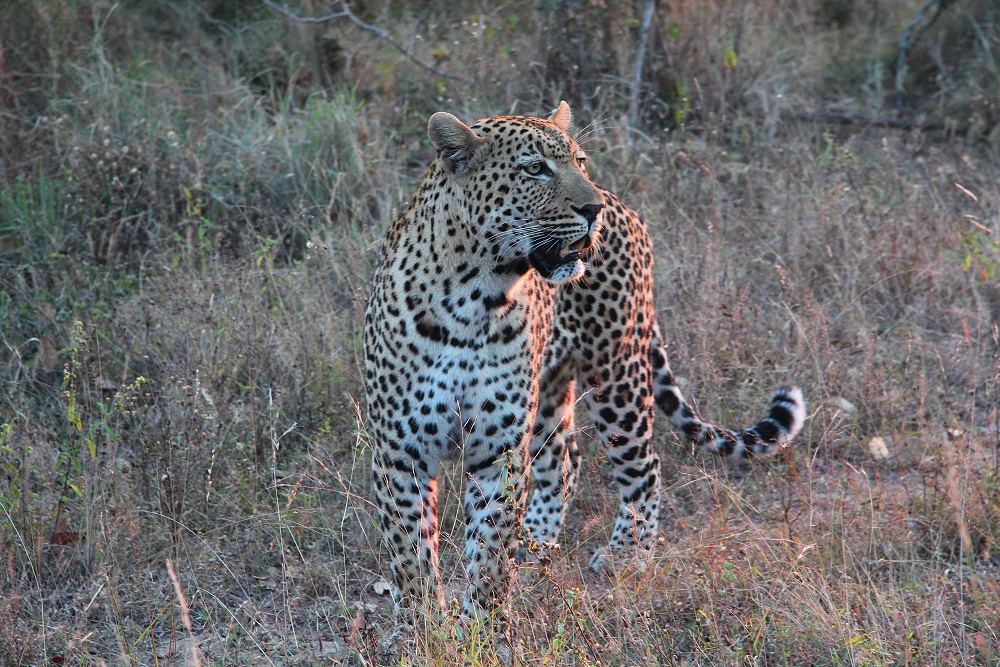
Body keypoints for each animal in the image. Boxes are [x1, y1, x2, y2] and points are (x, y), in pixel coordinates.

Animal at [366, 102, 604, 624]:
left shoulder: (500, 451)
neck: (475, 301)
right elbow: (411, 552)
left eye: (580, 162)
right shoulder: (400, 451)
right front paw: (421, 626)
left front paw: (485, 625)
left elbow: (492, 551)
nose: (594, 209)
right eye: (535, 169)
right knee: (565, 456)